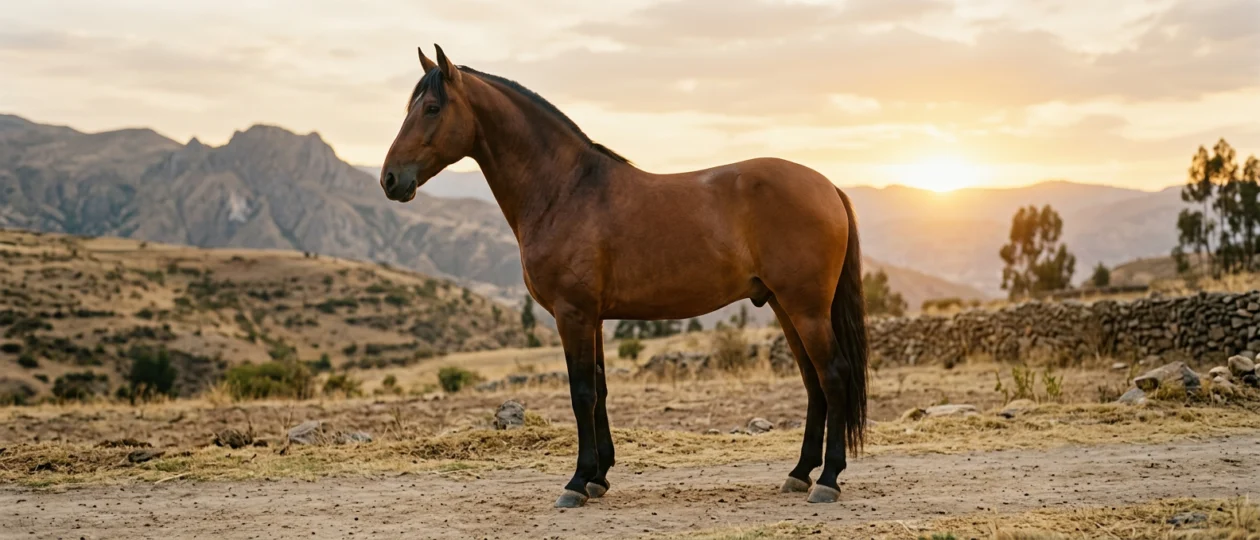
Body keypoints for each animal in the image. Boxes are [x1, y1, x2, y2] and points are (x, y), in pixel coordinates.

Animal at [380, 45, 869, 508]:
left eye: (431, 108)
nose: (389, 179)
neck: (565, 191)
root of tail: (828, 186)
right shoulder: (592, 317)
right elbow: (600, 390)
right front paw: (598, 477)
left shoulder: (573, 315)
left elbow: (581, 394)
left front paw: (576, 483)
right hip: (787, 307)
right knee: (813, 381)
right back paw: (799, 473)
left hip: (806, 309)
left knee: (833, 374)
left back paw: (827, 480)